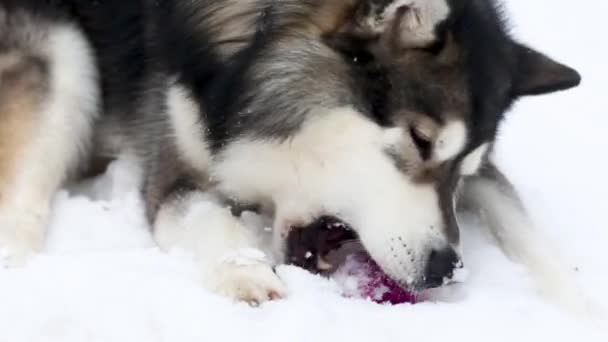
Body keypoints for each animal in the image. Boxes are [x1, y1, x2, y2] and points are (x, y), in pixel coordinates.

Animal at [0, 0, 580, 304]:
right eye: (420, 141)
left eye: (465, 170)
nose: (445, 269)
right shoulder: (174, 170)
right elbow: (210, 216)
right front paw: (246, 274)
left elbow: (532, 237)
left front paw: (581, 306)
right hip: (66, 57)